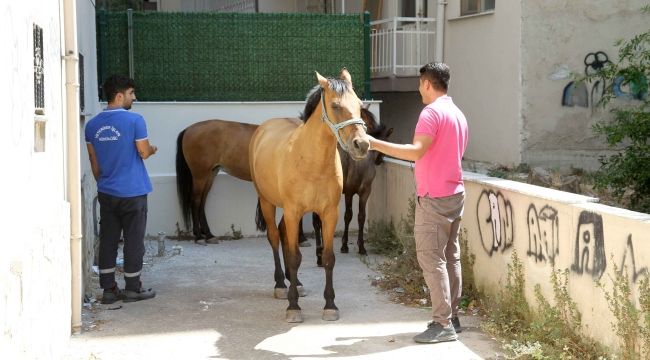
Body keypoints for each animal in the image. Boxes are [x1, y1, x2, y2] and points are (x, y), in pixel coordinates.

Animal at [249, 69, 370, 322]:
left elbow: (328, 258)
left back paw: (296, 283)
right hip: (268, 202)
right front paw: (293, 307)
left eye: (359, 105)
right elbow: (295, 257)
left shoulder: (328, 214)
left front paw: (330, 305)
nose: (362, 145)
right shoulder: (294, 211)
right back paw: (280, 285)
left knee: (284, 236)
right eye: (335, 105)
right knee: (274, 238)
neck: (311, 161)